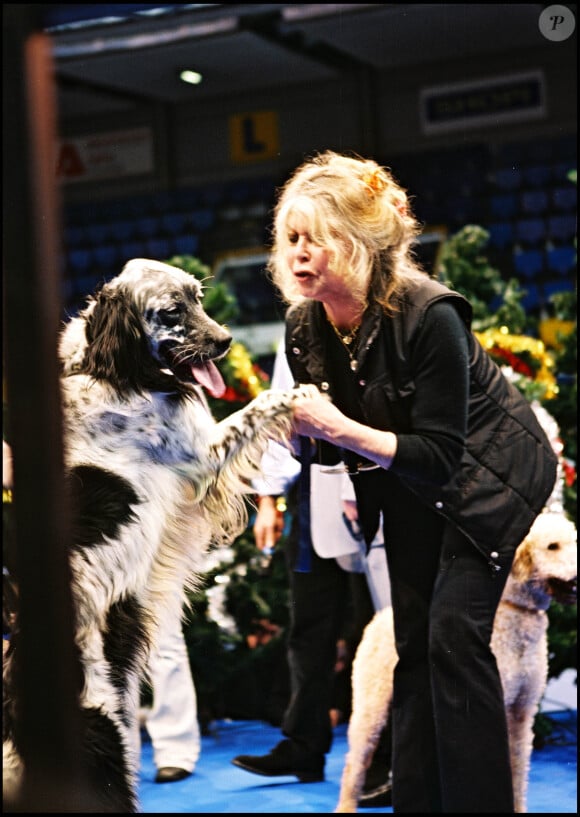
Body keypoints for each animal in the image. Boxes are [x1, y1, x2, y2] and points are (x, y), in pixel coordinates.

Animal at [3, 258, 312, 808]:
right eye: (171, 311)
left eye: (198, 298)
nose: (226, 341)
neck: (105, 368)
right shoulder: (202, 455)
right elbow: (258, 407)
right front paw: (301, 394)